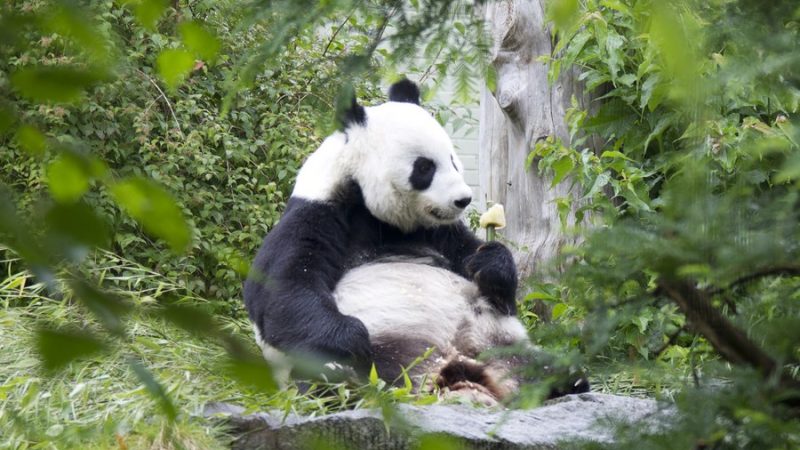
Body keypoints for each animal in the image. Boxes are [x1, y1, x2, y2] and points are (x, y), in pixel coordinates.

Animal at [242, 78, 576, 404]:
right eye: (425, 167)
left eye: (453, 160)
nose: (463, 199)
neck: (374, 210)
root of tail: (451, 370)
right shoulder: (319, 212)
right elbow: (280, 290)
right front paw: (353, 338)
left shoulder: (437, 231)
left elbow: (479, 268)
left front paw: (490, 263)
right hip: (383, 358)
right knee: (328, 378)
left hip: (497, 343)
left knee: (546, 363)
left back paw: (566, 382)